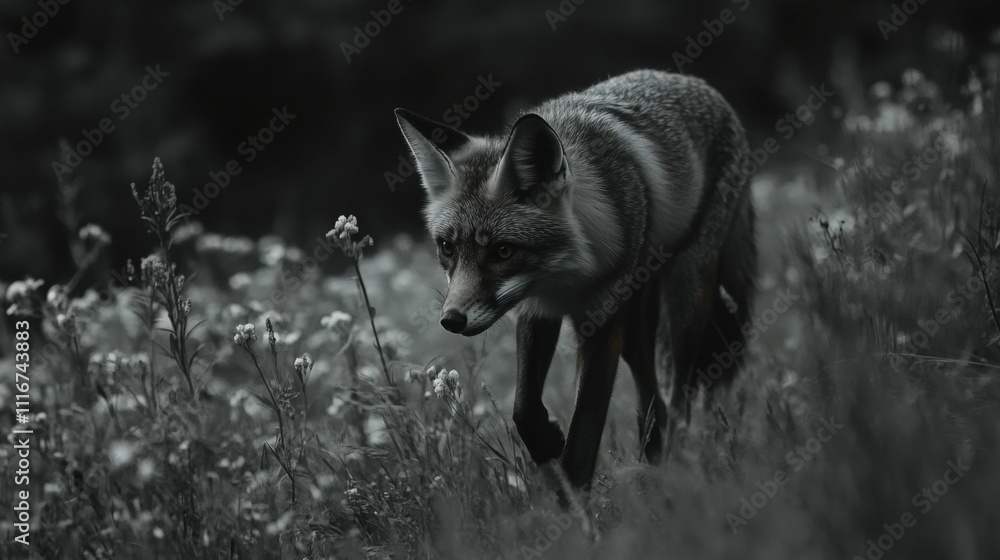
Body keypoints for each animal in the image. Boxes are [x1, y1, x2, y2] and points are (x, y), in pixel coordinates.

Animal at [395, 69, 756, 493]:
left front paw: (576, 506)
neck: (565, 276)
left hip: (684, 297)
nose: (451, 320)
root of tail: (693, 81)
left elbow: (584, 436)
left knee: (679, 395)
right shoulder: (537, 310)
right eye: (448, 248)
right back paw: (653, 463)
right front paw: (550, 444)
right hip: (635, 326)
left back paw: (677, 467)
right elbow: (524, 409)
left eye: (502, 251)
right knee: (653, 397)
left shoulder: (600, 320)